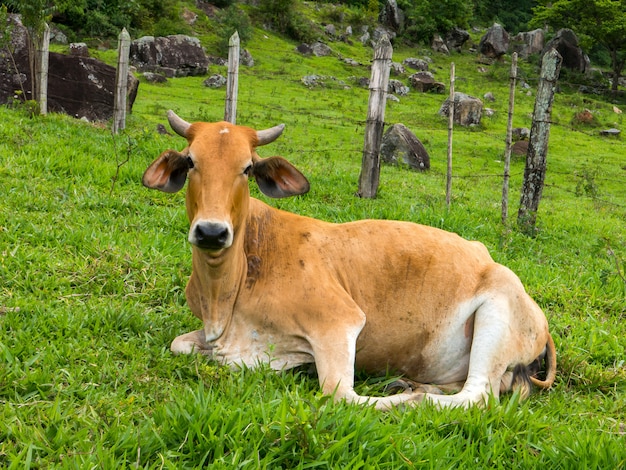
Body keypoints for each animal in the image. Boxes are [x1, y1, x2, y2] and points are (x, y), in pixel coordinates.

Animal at [143, 112, 556, 410]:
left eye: (247, 167)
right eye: (191, 162)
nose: (211, 232)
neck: (226, 293)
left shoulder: (338, 322)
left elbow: (341, 395)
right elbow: (180, 344)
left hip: (496, 313)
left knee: (477, 396)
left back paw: (415, 396)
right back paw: (411, 383)